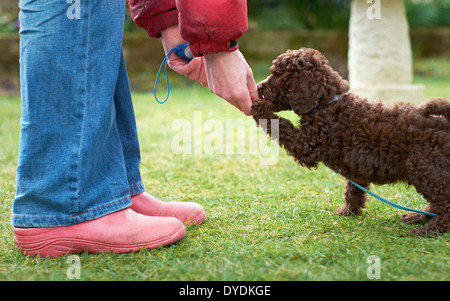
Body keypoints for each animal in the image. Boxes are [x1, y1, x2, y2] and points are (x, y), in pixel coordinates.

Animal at [251, 47, 450, 236]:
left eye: (279, 75)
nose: (259, 87)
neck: (326, 104)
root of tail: (445, 123)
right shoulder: (356, 168)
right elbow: (353, 190)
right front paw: (348, 212)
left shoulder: (307, 144)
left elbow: (282, 125)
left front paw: (259, 107)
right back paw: (418, 217)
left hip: (424, 167)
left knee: (445, 202)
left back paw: (429, 229)